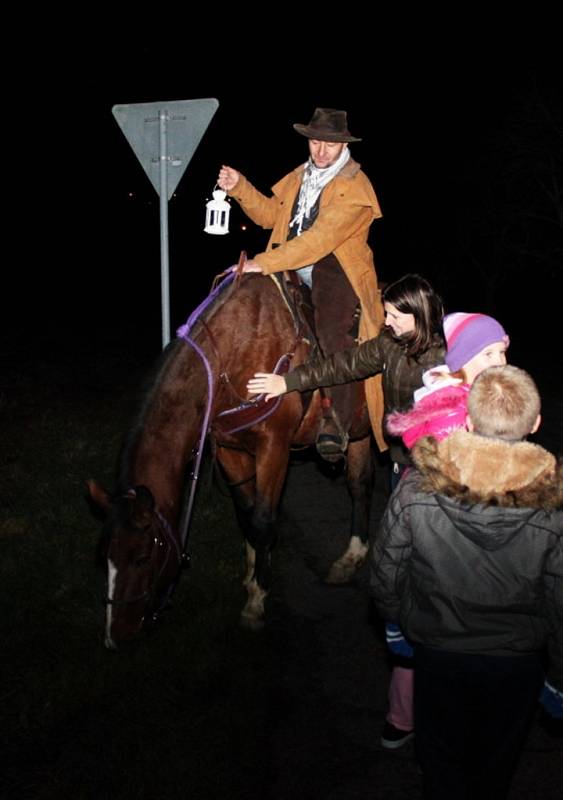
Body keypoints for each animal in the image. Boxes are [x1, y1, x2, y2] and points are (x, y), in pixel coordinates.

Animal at [89, 272, 378, 648]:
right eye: (104, 557)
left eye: (142, 558)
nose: (116, 638)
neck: (236, 348)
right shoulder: (230, 449)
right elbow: (246, 514)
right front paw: (252, 576)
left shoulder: (274, 447)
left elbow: (264, 520)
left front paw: (256, 603)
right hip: (359, 433)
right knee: (359, 485)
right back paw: (349, 559)